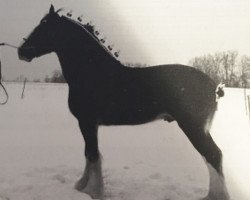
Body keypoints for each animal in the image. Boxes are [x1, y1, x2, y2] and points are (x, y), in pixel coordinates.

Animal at [17, 5, 229, 200]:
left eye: (45, 27)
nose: (21, 51)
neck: (92, 71)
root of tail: (213, 85)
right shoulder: (89, 124)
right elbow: (89, 154)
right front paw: (83, 186)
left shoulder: (87, 122)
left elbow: (92, 155)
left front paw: (93, 192)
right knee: (211, 157)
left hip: (192, 127)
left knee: (213, 154)